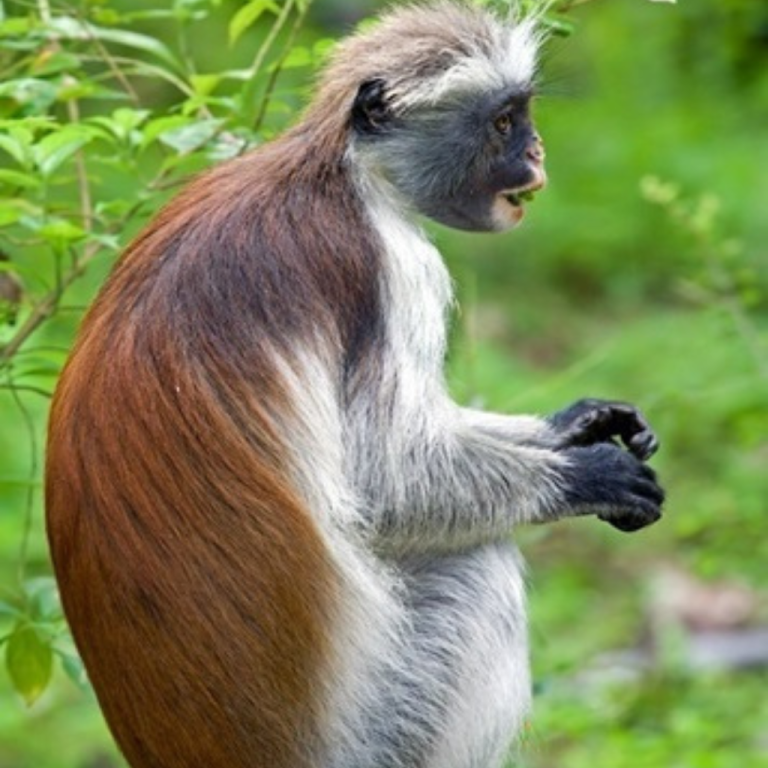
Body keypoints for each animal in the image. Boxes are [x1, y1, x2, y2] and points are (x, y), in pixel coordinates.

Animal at [46, 3, 660, 764]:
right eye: (502, 123)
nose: (538, 153)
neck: (340, 174)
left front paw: (582, 423)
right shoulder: (393, 264)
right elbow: (385, 481)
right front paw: (591, 474)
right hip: (371, 726)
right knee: (478, 569)